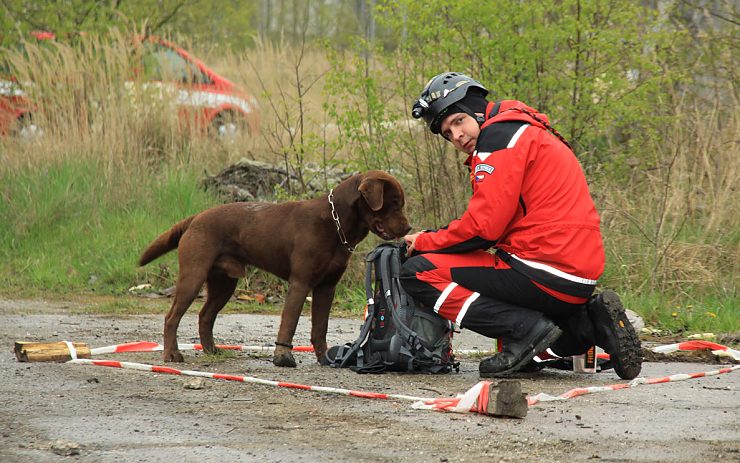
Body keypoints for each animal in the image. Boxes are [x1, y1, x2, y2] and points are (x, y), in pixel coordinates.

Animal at [137, 170, 410, 370]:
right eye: (394, 203)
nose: (408, 228)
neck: (336, 223)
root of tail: (195, 218)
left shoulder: (326, 287)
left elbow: (319, 327)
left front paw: (325, 358)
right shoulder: (300, 282)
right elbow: (289, 322)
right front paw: (283, 358)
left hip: (224, 283)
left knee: (205, 316)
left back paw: (211, 350)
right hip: (193, 274)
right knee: (172, 317)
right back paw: (172, 355)